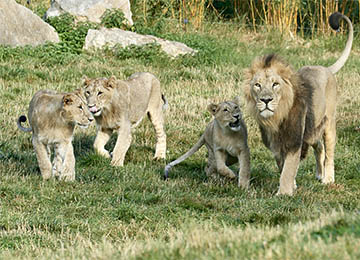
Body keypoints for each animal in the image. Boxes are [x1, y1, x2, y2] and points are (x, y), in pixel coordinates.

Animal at [243, 12, 352, 195]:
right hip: (312, 128)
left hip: (329, 124)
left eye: (275, 84)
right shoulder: (276, 144)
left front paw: (284, 193)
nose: (266, 100)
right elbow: (283, 166)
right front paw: (292, 186)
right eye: (257, 85)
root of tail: (325, 68)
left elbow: (288, 169)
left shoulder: (294, 140)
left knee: (329, 152)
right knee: (319, 147)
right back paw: (319, 174)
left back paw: (328, 179)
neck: (277, 117)